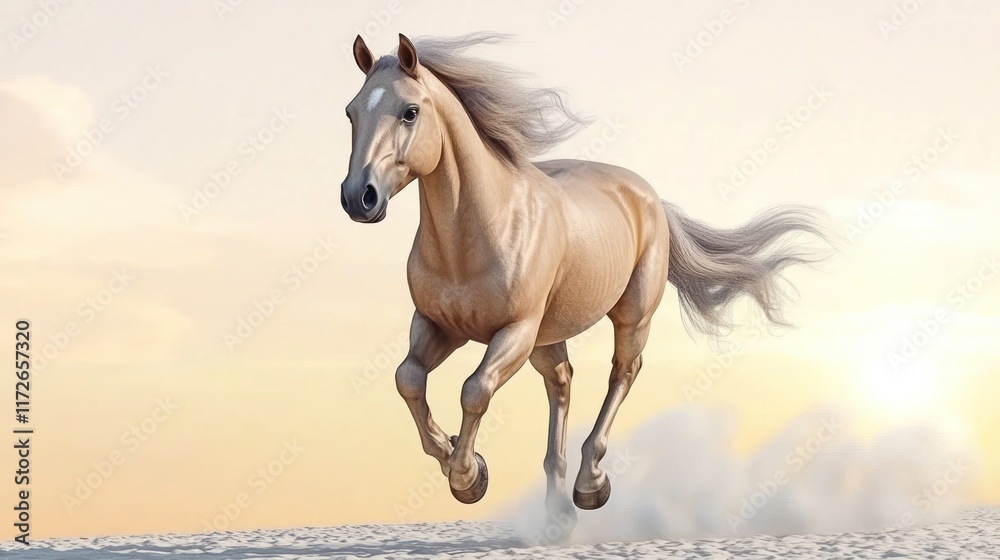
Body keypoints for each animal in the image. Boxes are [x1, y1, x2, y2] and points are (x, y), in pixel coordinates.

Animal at [341, 33, 829, 531]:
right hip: (547, 336)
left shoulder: (514, 331)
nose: (359, 198)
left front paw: (468, 477)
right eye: (351, 112)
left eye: (410, 112)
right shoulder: (438, 325)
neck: (476, 233)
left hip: (629, 317)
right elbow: (408, 379)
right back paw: (558, 508)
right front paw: (456, 455)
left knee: (622, 372)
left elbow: (474, 389)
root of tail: (650, 197)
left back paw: (589, 484)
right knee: (561, 382)